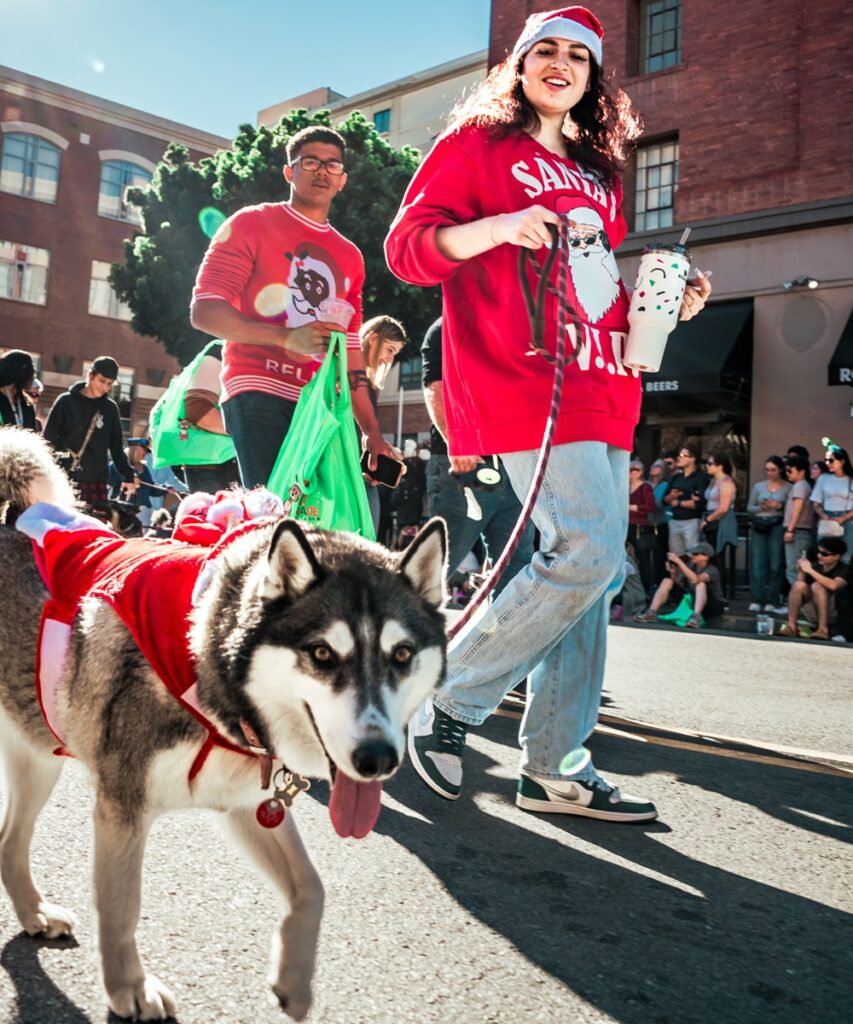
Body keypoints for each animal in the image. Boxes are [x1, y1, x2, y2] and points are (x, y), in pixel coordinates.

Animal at [0, 428, 446, 1019]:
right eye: (322, 654)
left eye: (401, 655)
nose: (376, 760)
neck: (206, 664)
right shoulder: (122, 807)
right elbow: (121, 909)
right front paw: (128, 989)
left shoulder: (245, 805)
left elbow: (312, 889)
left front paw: (294, 981)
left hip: (41, 754)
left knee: (9, 841)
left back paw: (33, 914)